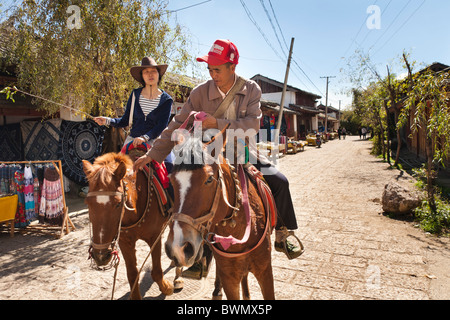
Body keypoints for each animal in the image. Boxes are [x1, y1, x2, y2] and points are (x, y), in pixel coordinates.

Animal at [82, 152, 178, 300]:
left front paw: (166, 288)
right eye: (87, 203)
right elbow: (132, 274)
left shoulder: (155, 236)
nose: (101, 256)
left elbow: (156, 269)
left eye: (117, 204)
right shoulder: (124, 242)